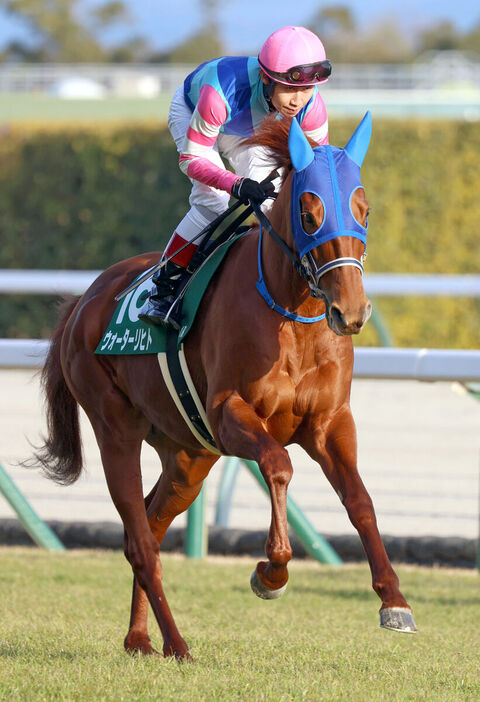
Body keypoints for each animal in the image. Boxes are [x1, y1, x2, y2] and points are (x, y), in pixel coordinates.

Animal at [33, 113, 416, 664]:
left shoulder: (329, 422)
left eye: (364, 210)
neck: (292, 314)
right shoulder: (229, 414)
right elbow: (278, 465)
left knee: (148, 525)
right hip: (116, 429)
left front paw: (395, 601)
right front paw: (271, 573)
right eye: (308, 213)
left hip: (188, 455)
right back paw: (177, 643)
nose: (352, 312)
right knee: (140, 541)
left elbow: (360, 499)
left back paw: (139, 638)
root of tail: (82, 302)